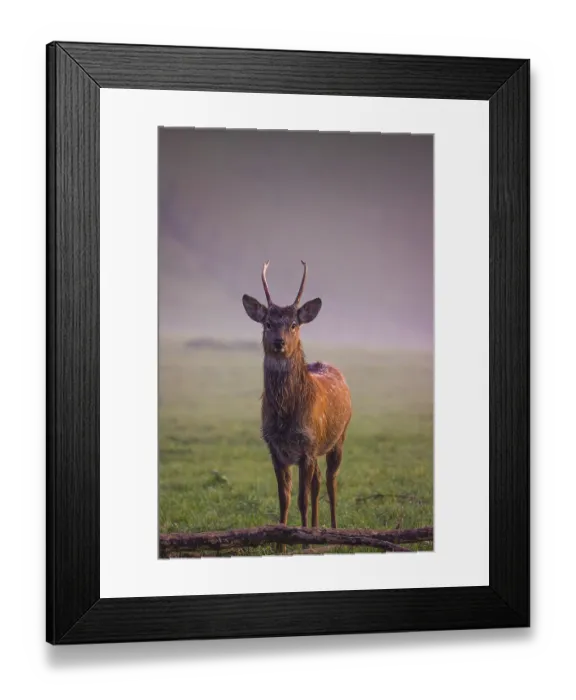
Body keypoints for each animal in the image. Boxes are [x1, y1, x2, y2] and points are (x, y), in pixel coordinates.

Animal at [242, 261, 352, 552]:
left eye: (293, 324)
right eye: (268, 323)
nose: (279, 342)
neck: (286, 420)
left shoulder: (307, 446)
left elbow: (302, 499)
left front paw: (302, 540)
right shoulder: (275, 449)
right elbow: (285, 498)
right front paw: (281, 543)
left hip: (339, 436)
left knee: (331, 481)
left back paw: (334, 531)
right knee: (317, 483)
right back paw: (316, 530)